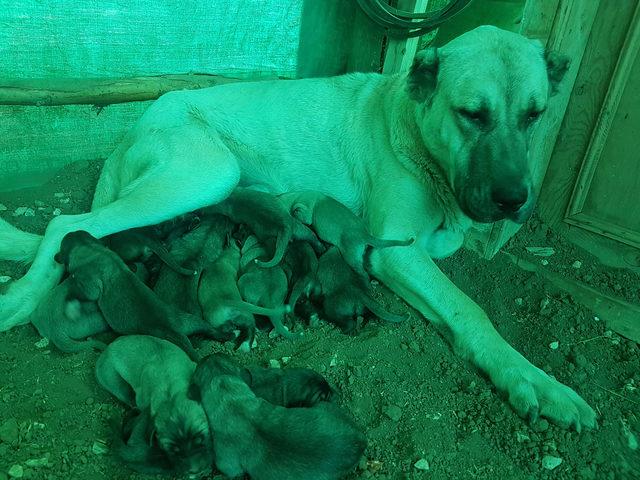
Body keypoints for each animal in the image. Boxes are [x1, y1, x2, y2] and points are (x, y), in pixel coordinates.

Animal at [55, 230, 225, 360]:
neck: (90, 248)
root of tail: (172, 330)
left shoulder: (90, 284)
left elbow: (83, 292)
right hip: (189, 320)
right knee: (210, 329)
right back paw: (223, 335)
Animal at [96, 336, 212, 478]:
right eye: (171, 450)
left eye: (200, 439)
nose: (196, 471)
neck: (170, 392)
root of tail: (106, 349)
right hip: (116, 383)